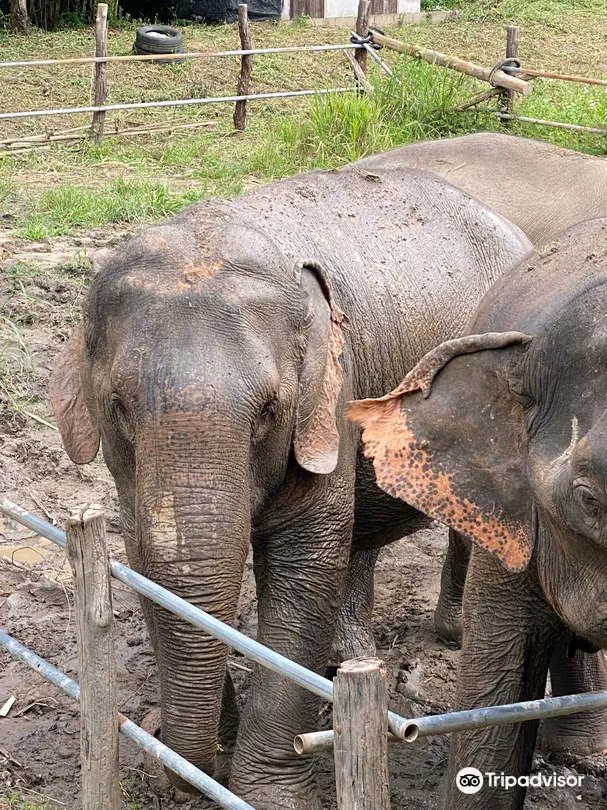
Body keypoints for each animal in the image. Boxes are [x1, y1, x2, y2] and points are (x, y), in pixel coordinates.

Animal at [49, 166, 532, 810]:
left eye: (269, 411)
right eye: (118, 407)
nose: (163, 739)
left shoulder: (332, 392)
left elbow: (304, 565)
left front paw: (268, 794)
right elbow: (147, 558)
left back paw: (445, 635)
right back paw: (349, 657)